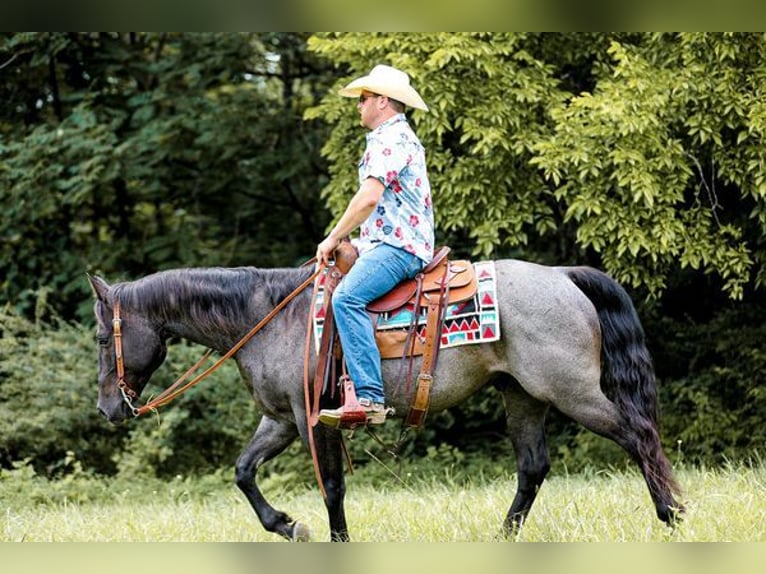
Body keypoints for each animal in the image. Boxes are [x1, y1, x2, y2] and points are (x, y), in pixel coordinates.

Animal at [88, 262, 684, 544]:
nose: (107, 409)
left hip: (572, 391)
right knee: (533, 467)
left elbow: (331, 486)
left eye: (99, 337)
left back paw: (673, 515)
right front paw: (287, 525)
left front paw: (334, 540)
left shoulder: (313, 419)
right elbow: (242, 471)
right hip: (523, 396)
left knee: (638, 434)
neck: (269, 316)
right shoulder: (280, 419)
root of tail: (562, 275)